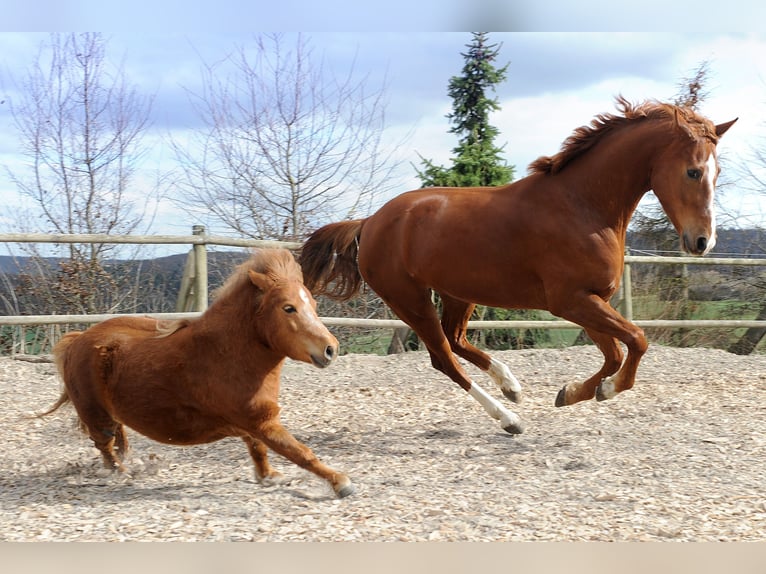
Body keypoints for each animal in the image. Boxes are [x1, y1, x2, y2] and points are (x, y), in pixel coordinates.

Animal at [40, 251, 356, 500]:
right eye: (288, 308)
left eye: (313, 306)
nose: (331, 349)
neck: (227, 354)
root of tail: (78, 340)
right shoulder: (261, 422)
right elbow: (300, 452)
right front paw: (341, 483)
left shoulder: (253, 423)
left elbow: (259, 449)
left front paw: (269, 477)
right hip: (95, 414)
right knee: (105, 446)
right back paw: (123, 473)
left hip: (112, 412)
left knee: (119, 439)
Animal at [300, 97, 736, 436]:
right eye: (693, 171)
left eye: (717, 172)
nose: (703, 242)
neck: (583, 206)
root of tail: (370, 222)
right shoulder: (571, 302)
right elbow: (637, 340)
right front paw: (605, 390)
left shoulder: (593, 300)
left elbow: (616, 352)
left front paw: (572, 393)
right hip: (410, 300)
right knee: (444, 358)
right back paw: (509, 418)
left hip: (458, 293)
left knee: (456, 340)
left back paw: (510, 385)